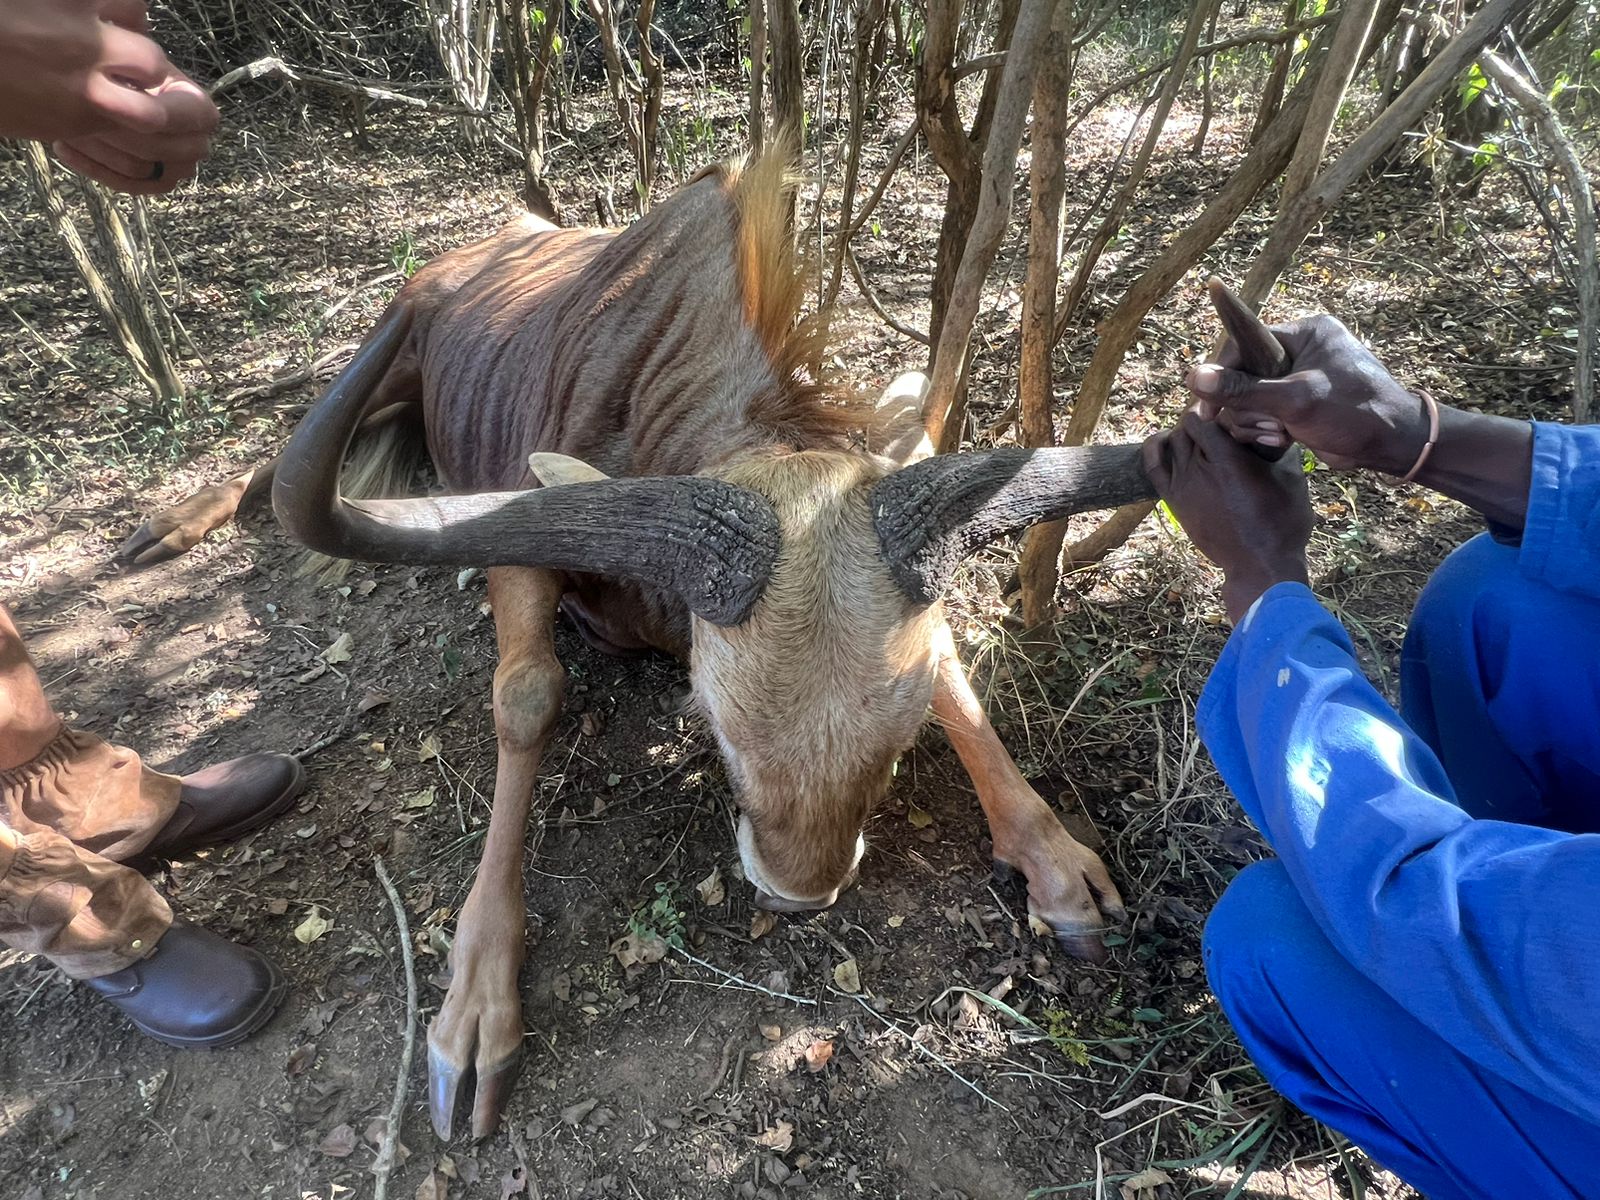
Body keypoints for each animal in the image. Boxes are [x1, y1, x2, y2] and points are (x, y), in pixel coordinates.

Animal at [121, 153, 1163, 1140]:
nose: (799, 892)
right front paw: (476, 1004)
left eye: (901, 742)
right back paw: (166, 525)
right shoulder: (521, 541)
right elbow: (527, 693)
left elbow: (953, 675)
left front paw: (1050, 857)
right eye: (715, 724)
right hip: (392, 365)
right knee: (270, 463)